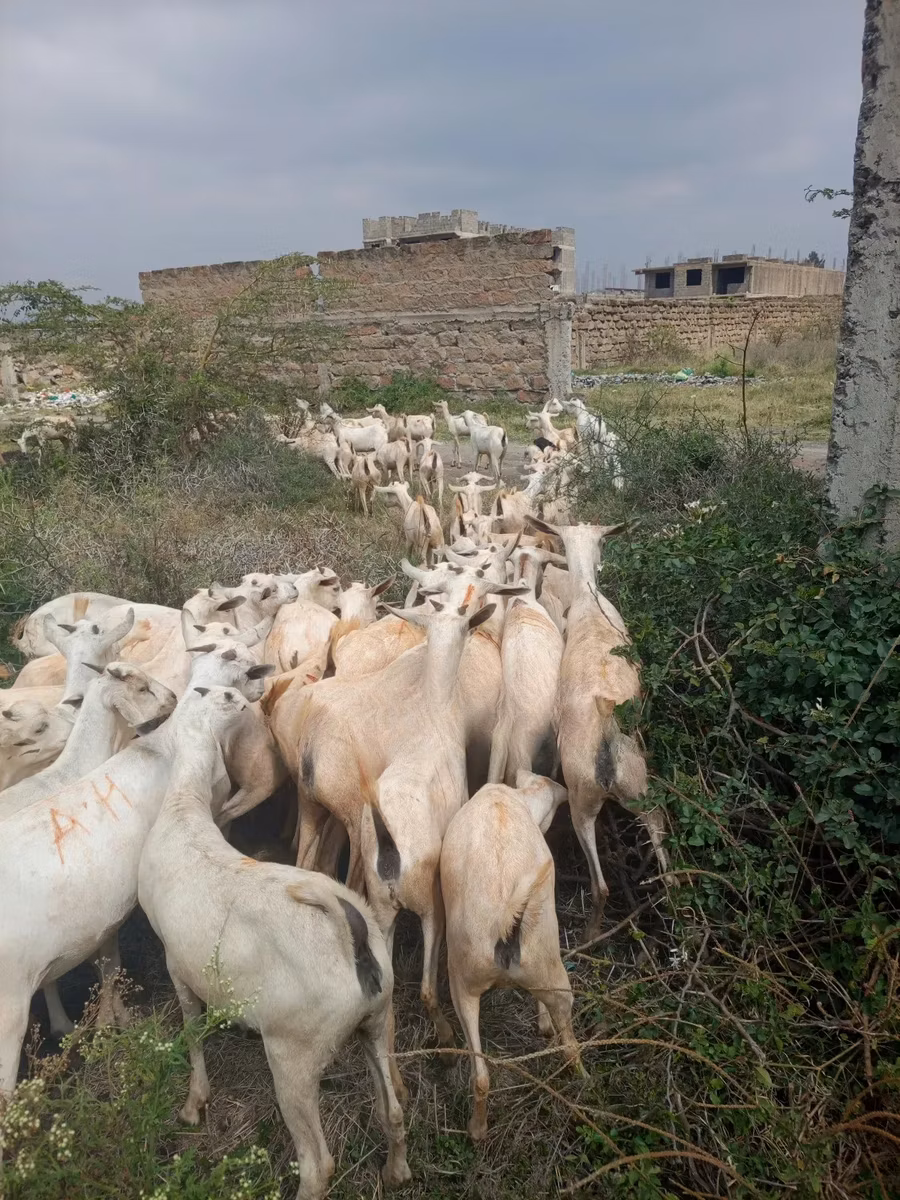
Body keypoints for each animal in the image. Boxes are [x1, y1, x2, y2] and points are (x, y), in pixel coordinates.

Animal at [138, 686, 410, 1199]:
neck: (183, 808)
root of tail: (352, 935)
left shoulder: (174, 960)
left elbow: (190, 1028)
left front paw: (193, 1104)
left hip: (294, 1049)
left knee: (318, 1164)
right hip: (376, 1017)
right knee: (395, 1112)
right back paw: (395, 1172)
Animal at [441, 771, 580, 1140]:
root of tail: (507, 919)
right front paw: (544, 1026)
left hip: (467, 981)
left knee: (482, 1076)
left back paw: (477, 1130)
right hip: (541, 970)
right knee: (569, 1045)